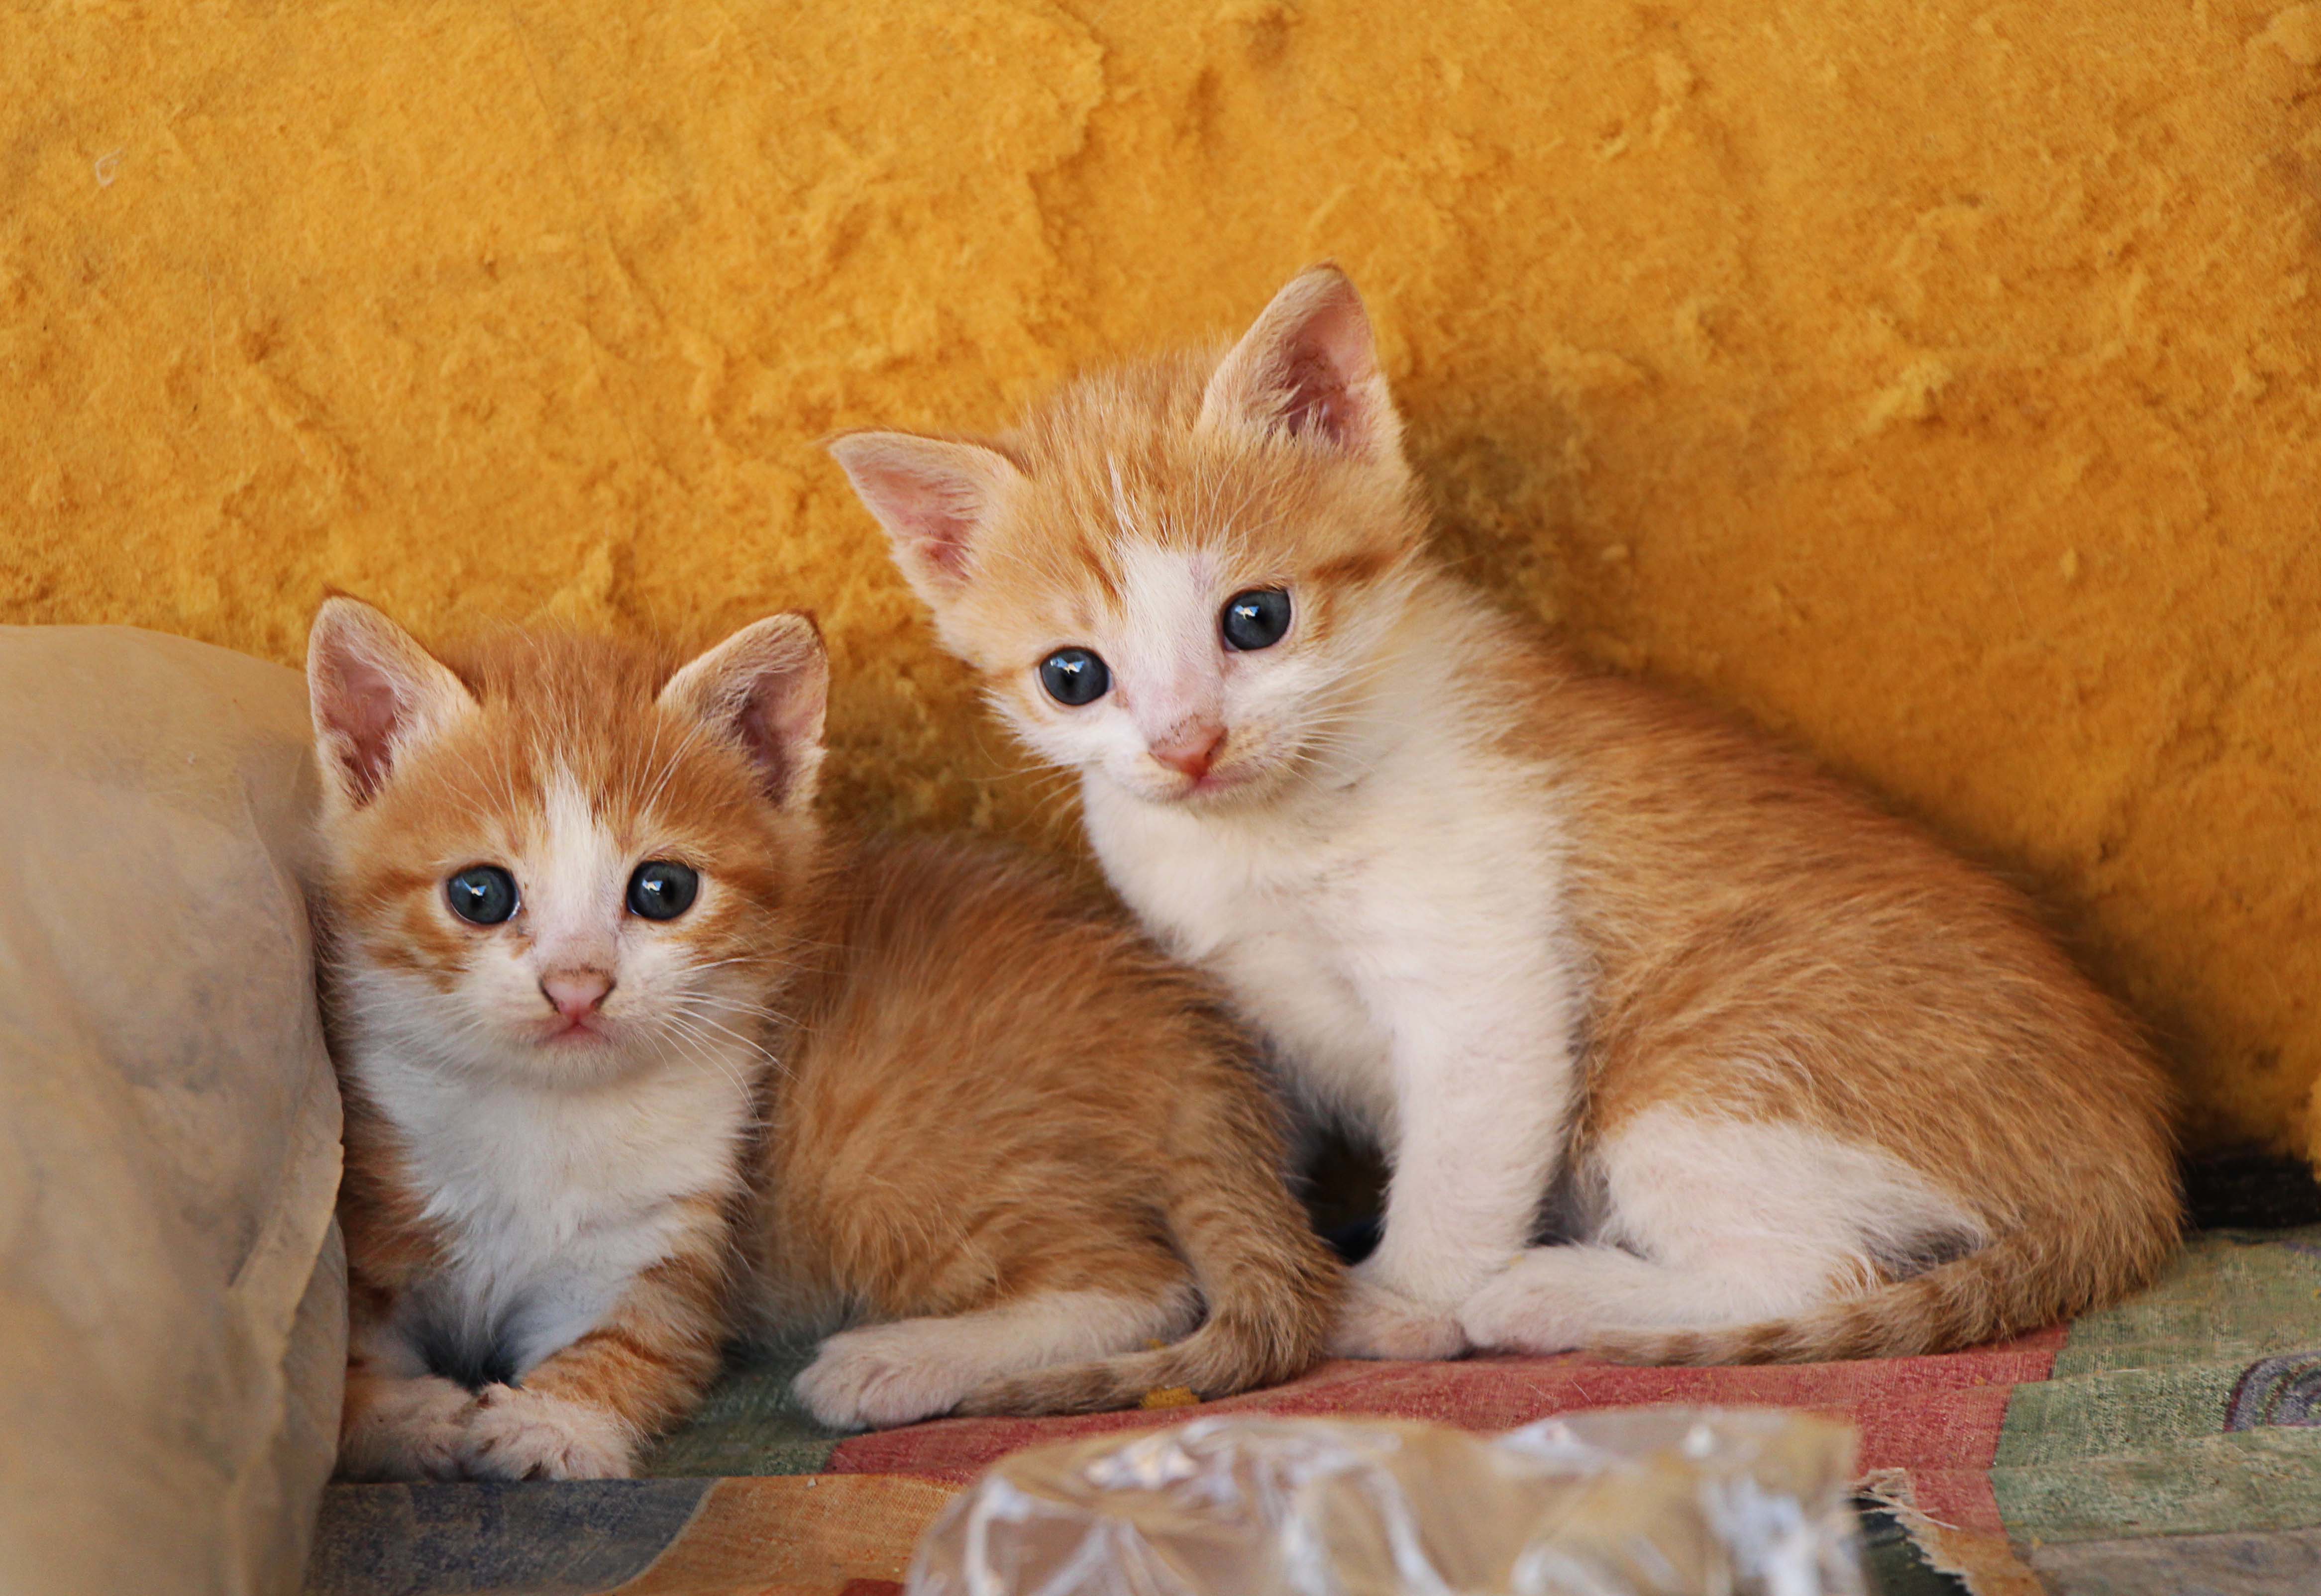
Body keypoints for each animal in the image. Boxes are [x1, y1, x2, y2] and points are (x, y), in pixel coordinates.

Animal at [304, 603, 1346, 1485]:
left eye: (662, 890)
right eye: (479, 894)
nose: (576, 985)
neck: (546, 1111)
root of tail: (1189, 1044)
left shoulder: (665, 1249)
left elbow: (632, 1344)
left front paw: (554, 1422)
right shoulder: (376, 1219)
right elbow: (344, 1368)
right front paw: (413, 1415)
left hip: (879, 1153)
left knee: (1143, 1280)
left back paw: (891, 1360)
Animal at [840, 268, 2191, 1364]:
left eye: (1255, 619)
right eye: (1073, 675)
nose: (1187, 742)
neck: (1265, 831)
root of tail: (2129, 1171)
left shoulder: (1484, 973)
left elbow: (1461, 1151)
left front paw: (1400, 1302)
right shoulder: (1226, 992)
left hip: (1700, 1078)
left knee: (1823, 1269)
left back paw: (1548, 1294)